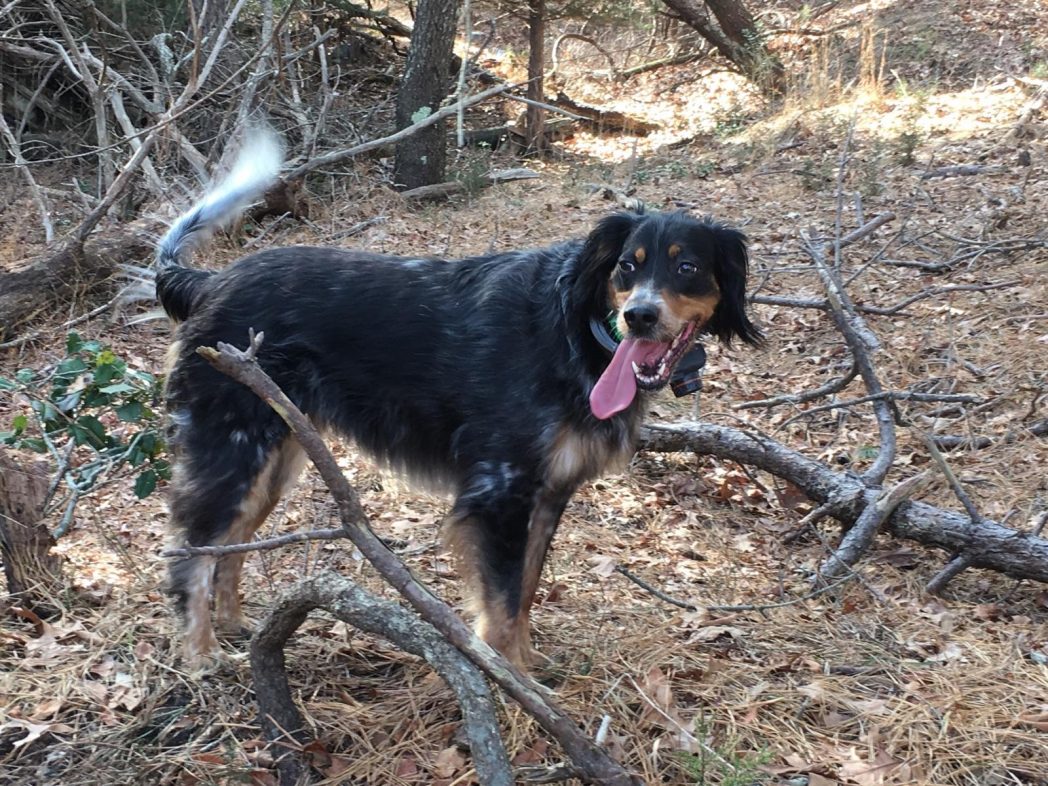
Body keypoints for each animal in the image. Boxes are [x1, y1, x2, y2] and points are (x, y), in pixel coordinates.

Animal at [155, 135, 762, 670]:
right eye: (626, 266)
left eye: (687, 267)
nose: (639, 316)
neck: (574, 330)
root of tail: (209, 282)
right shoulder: (499, 492)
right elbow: (502, 602)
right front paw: (511, 684)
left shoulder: (547, 494)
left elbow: (524, 591)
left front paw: (524, 665)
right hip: (233, 449)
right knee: (192, 553)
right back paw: (201, 657)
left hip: (276, 459)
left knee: (230, 544)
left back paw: (238, 628)